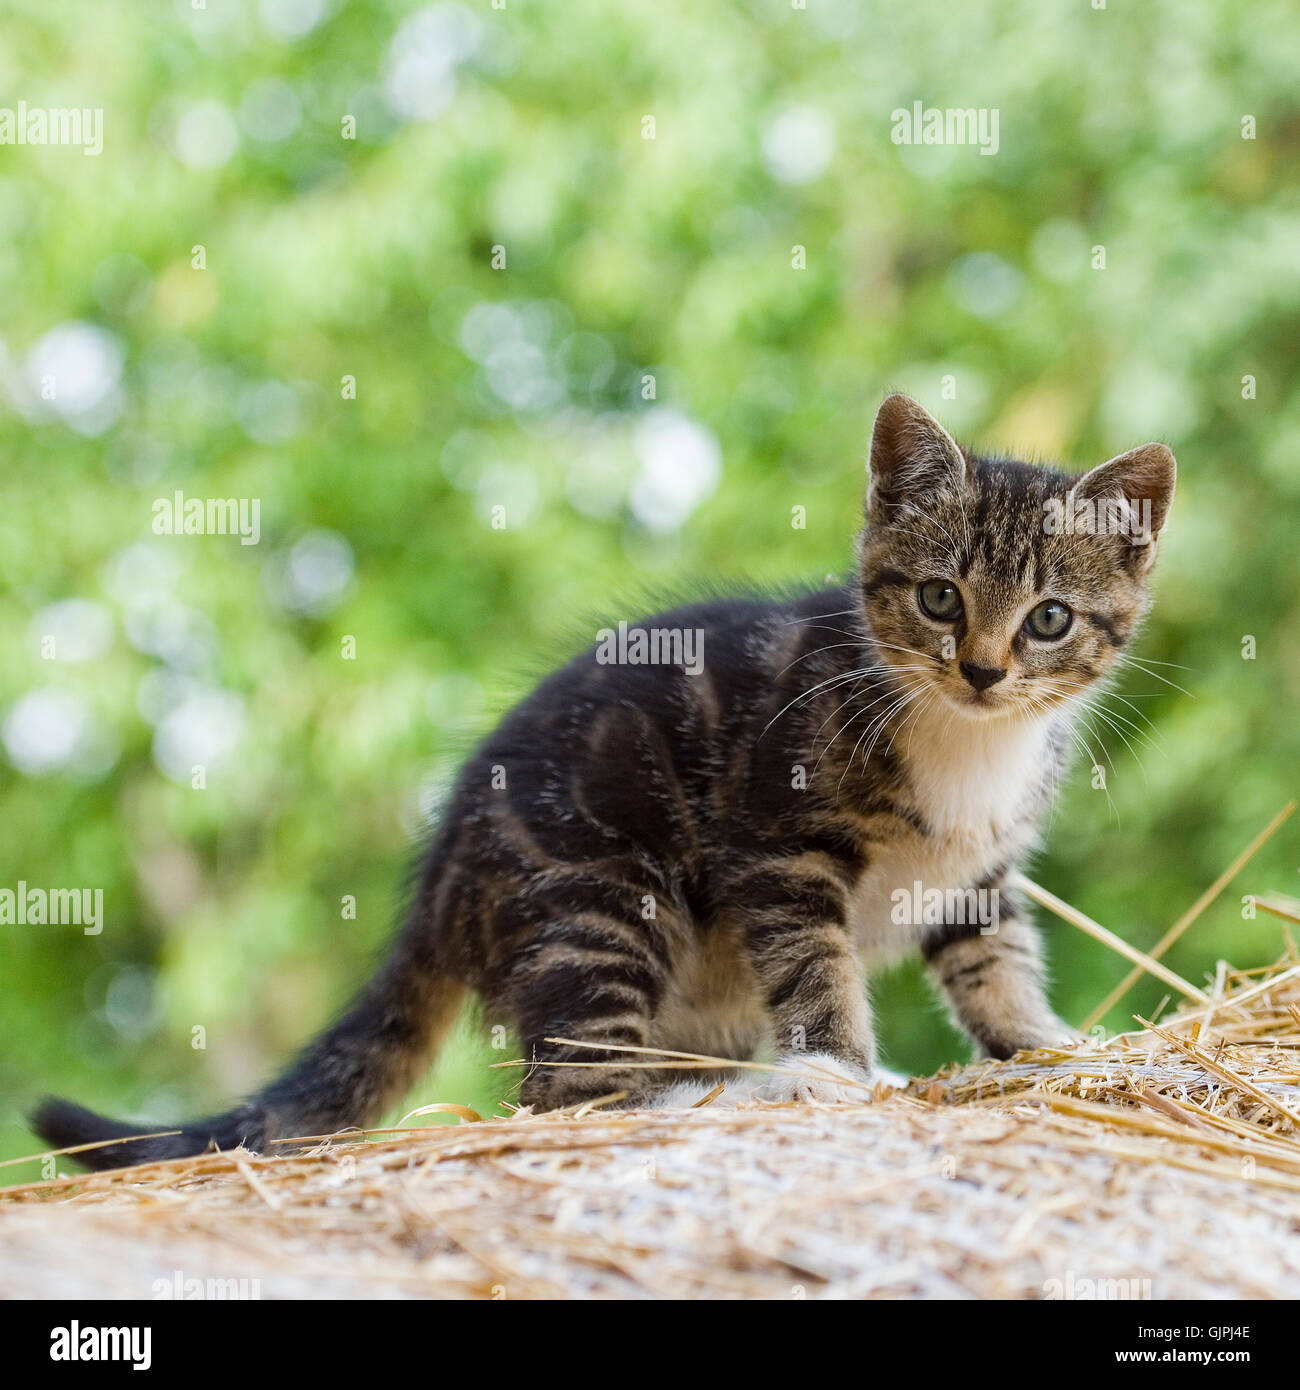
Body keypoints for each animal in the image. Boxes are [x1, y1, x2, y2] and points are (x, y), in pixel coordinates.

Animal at [35, 397, 1179, 1167]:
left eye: (1048, 618)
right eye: (940, 598)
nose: (982, 670)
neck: (966, 740)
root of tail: (439, 874)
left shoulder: (977, 866)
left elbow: (994, 957)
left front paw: (1047, 1045)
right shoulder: (778, 843)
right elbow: (816, 963)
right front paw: (834, 1071)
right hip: (597, 891)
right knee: (571, 1088)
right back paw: (717, 1101)